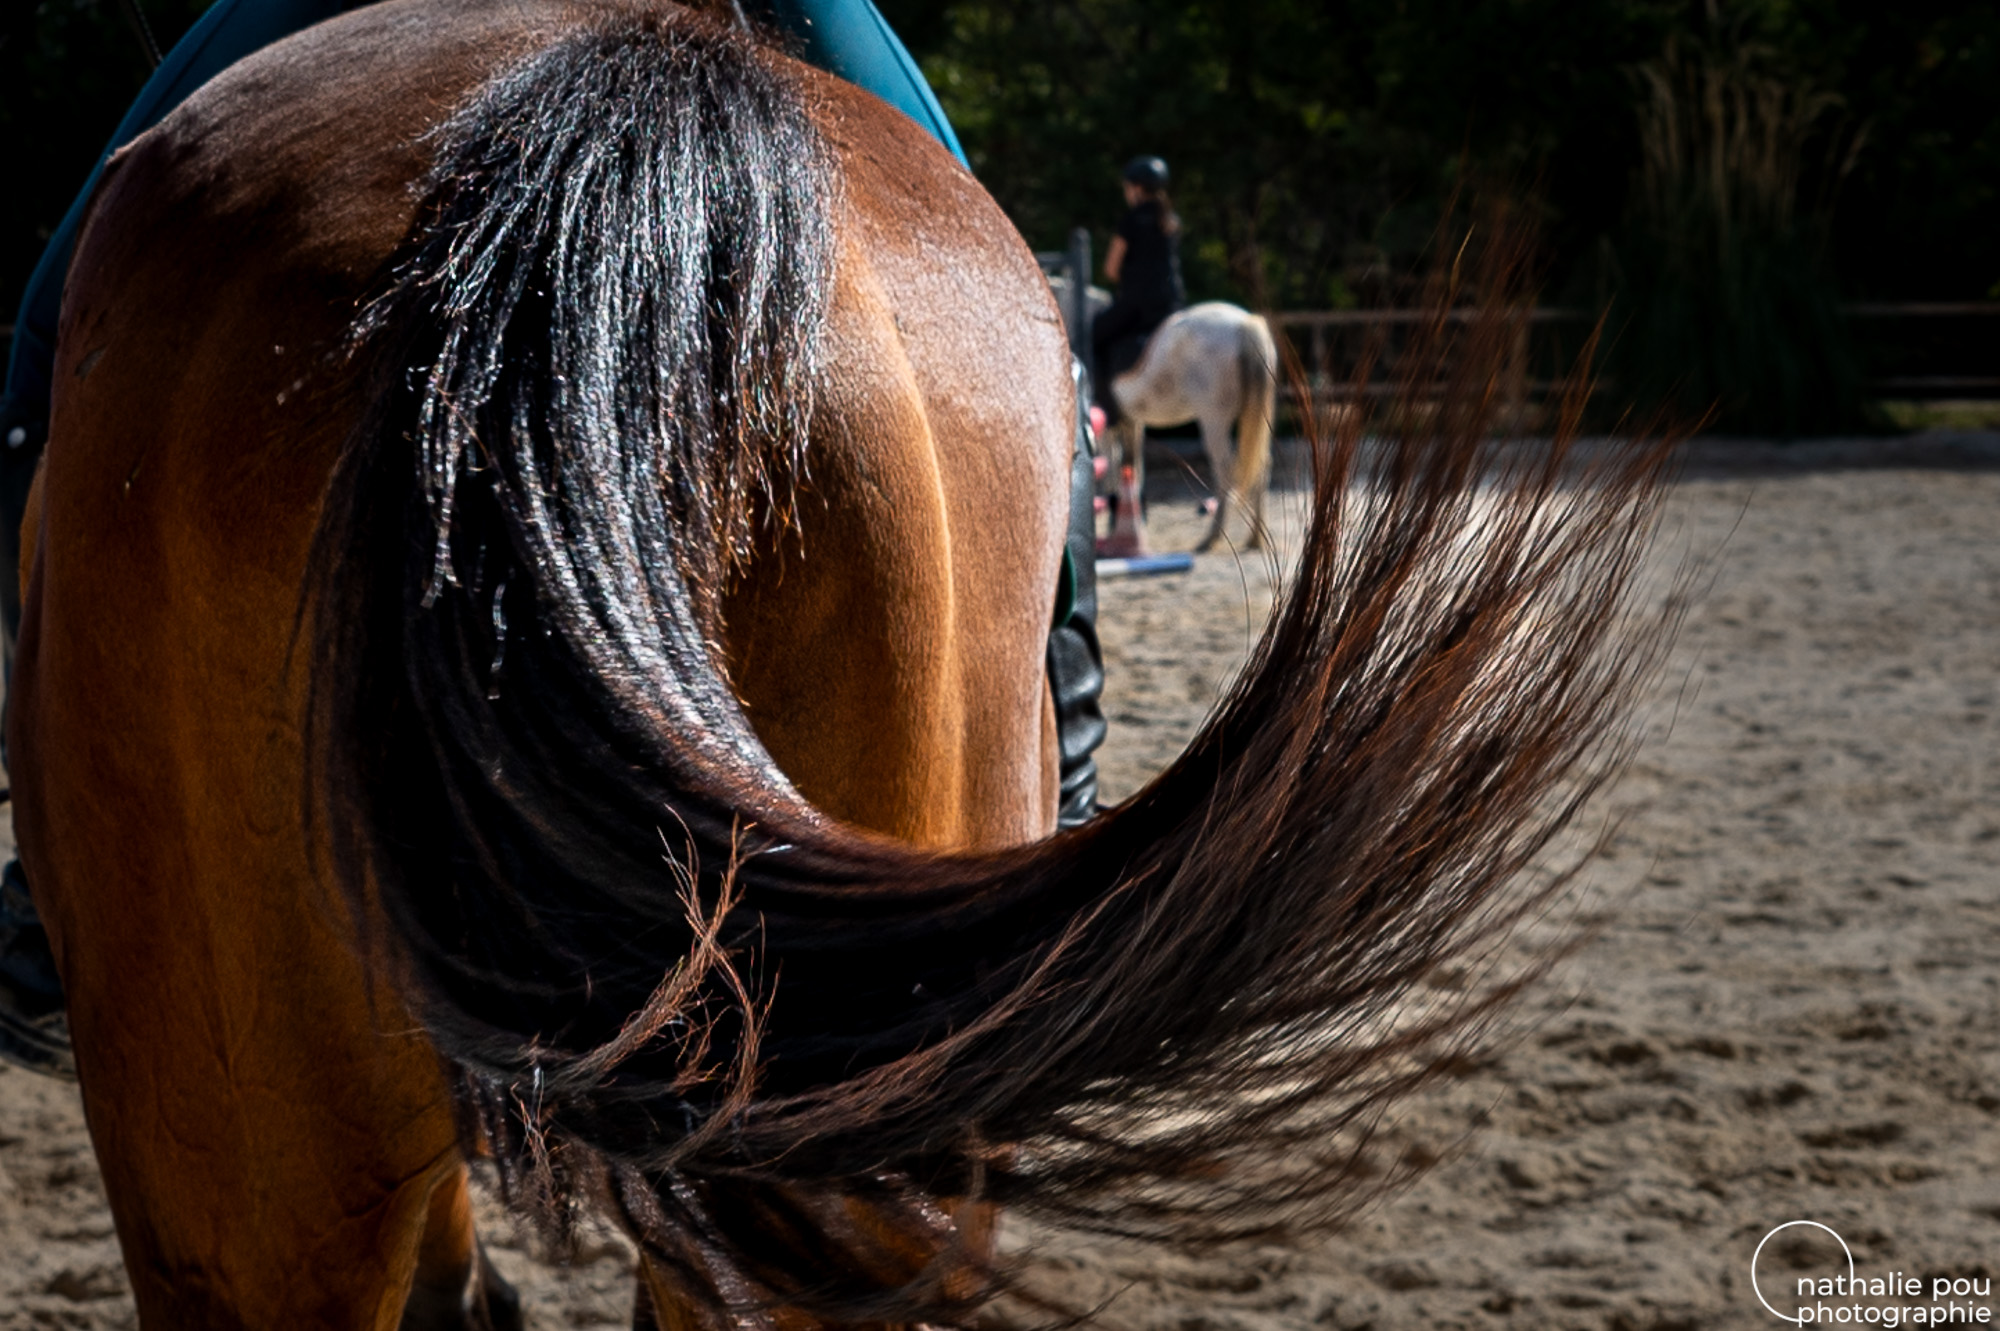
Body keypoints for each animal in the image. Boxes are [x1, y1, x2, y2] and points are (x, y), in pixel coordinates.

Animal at [1112, 299, 1280, 547]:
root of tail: (1243, 324)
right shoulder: (1132, 421)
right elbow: (1132, 465)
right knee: (1262, 464)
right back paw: (1255, 537)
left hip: (1214, 418)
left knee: (1225, 468)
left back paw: (1213, 535)